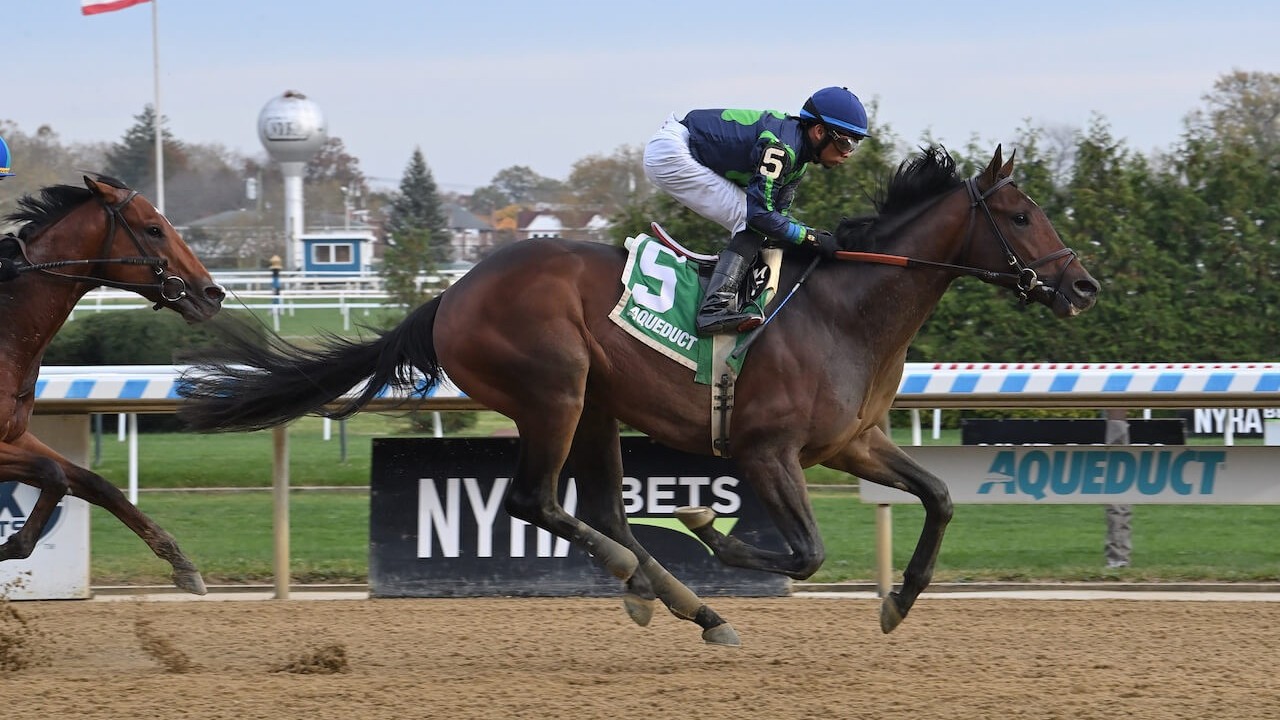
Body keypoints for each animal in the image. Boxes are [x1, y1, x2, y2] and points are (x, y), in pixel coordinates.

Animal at [1, 176, 222, 591]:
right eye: (154, 229)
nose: (212, 293)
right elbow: (54, 475)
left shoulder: (15, 435)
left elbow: (90, 481)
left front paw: (181, 561)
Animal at [177, 144, 1100, 638]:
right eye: (1021, 216)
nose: (1082, 286)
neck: (846, 309)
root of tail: (453, 293)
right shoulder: (767, 452)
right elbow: (801, 552)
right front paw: (712, 529)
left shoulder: (853, 442)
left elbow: (940, 496)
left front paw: (900, 601)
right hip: (555, 392)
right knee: (537, 503)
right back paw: (658, 583)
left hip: (598, 407)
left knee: (600, 510)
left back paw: (685, 606)